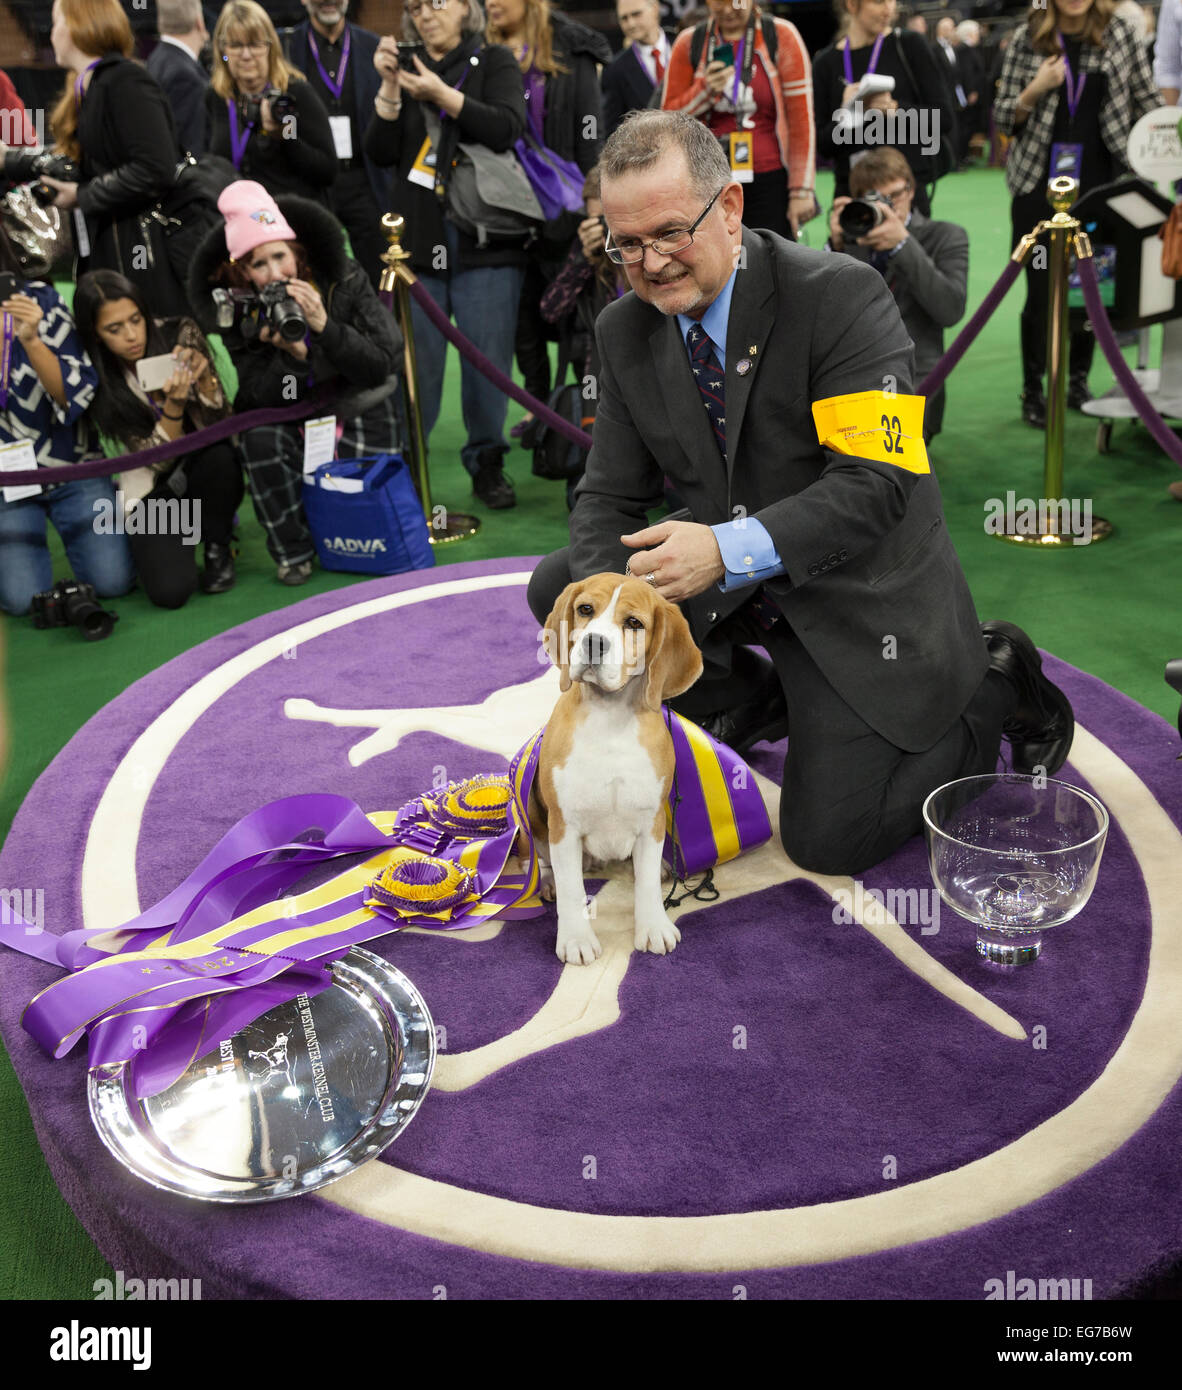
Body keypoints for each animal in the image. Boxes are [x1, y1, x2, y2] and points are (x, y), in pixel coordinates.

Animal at [528, 575, 700, 967]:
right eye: (585, 610)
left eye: (633, 623)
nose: (593, 642)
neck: (610, 718)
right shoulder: (564, 825)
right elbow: (572, 890)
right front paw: (576, 938)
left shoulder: (652, 818)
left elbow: (647, 883)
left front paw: (653, 926)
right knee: (545, 860)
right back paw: (548, 881)